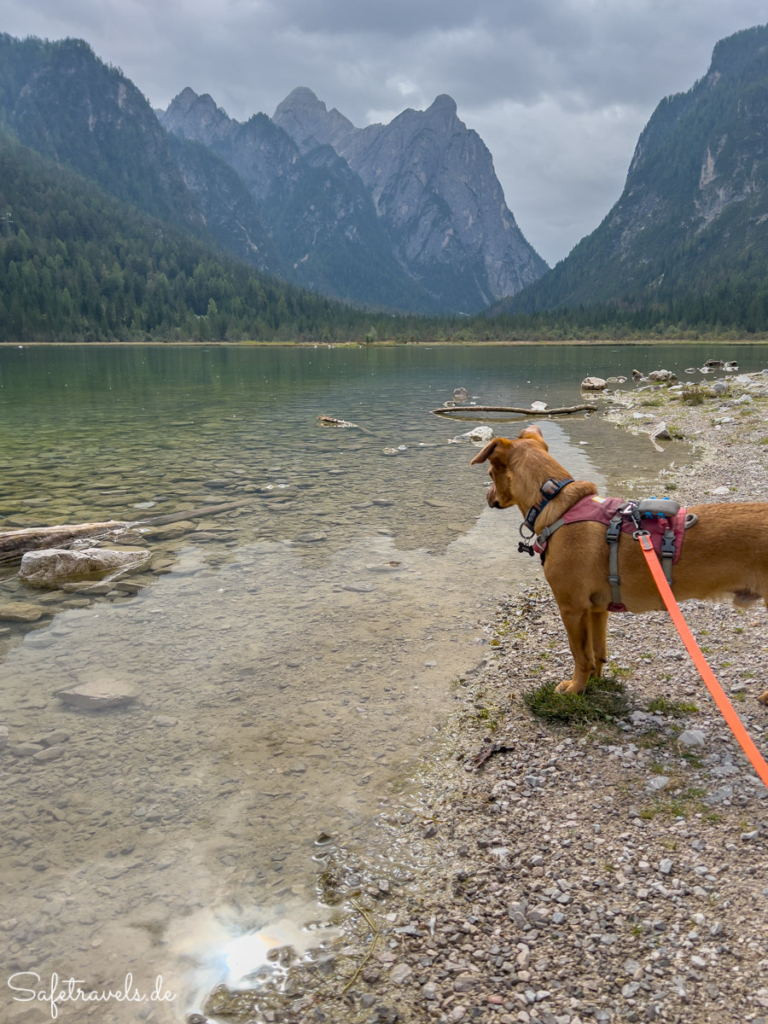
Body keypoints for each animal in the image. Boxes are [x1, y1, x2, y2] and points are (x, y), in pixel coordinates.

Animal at [468, 423, 768, 704]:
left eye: (490, 474)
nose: (486, 497)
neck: (555, 503)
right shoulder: (597, 609)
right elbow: (597, 653)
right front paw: (594, 682)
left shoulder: (572, 608)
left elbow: (580, 655)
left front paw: (575, 689)